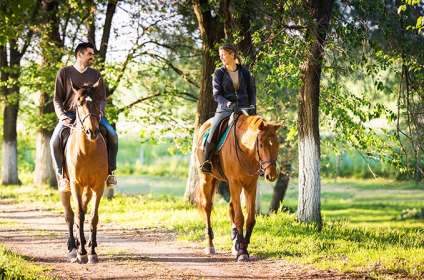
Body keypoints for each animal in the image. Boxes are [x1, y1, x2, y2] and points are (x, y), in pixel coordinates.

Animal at [60, 82, 107, 264]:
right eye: (79, 104)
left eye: (97, 102)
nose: (92, 132)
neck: (87, 151)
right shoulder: (75, 185)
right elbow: (79, 215)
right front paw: (81, 253)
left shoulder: (99, 186)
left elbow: (93, 216)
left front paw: (92, 252)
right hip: (66, 187)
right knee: (70, 215)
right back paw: (72, 248)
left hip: (88, 189)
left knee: (84, 209)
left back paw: (84, 242)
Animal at [196, 113, 282, 260]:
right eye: (261, 144)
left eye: (277, 144)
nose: (271, 175)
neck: (246, 151)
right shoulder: (235, 183)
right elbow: (239, 217)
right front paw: (242, 252)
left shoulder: (250, 185)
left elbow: (250, 219)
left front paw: (243, 247)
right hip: (207, 179)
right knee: (207, 207)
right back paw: (210, 246)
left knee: (231, 208)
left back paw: (235, 244)